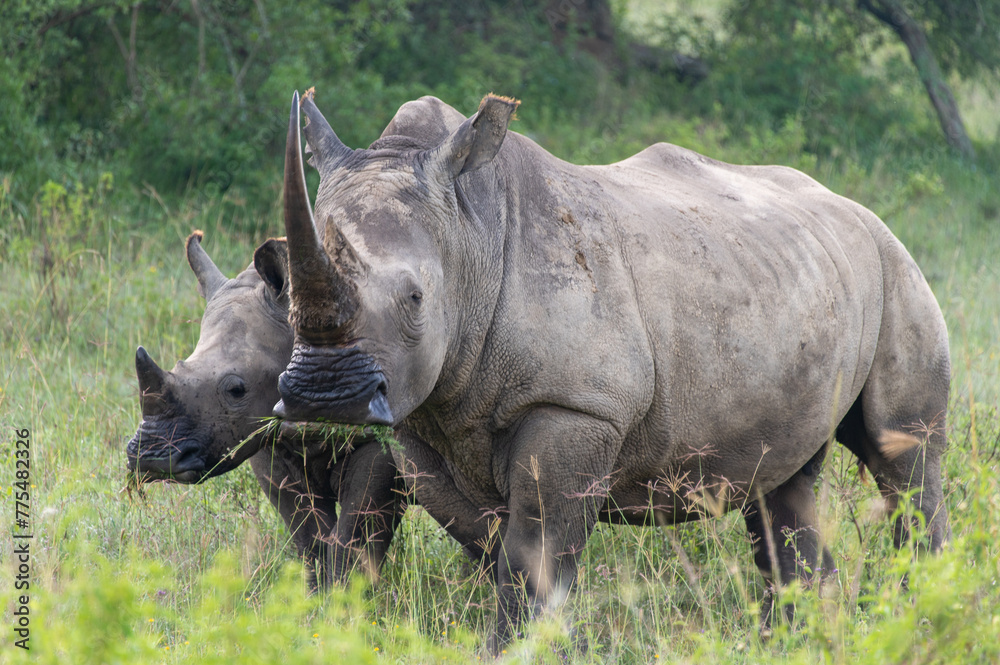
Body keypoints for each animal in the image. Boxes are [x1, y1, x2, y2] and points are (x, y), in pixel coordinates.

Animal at [125, 231, 402, 587]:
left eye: (236, 390)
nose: (154, 461)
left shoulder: (378, 436)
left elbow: (355, 536)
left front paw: (346, 597)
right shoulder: (265, 440)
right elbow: (308, 536)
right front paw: (315, 597)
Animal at [263, 89, 951, 649]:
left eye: (414, 299)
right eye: (286, 298)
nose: (324, 396)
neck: (470, 235)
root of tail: (854, 207)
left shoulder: (575, 407)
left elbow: (532, 555)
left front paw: (520, 649)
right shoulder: (423, 415)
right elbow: (500, 550)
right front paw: (558, 643)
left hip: (895, 264)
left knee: (904, 460)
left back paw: (928, 614)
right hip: (798, 278)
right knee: (782, 479)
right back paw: (800, 637)